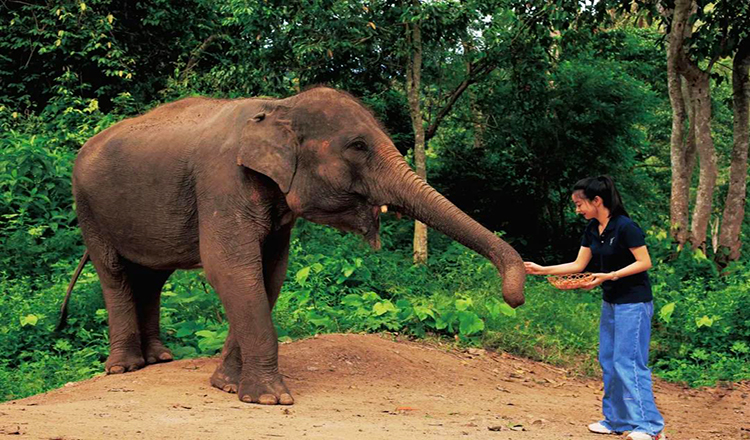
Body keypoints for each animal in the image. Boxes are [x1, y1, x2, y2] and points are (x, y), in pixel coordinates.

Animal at [60, 86, 528, 406]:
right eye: (358, 146)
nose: (514, 298)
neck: (281, 105)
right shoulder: (221, 181)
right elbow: (231, 268)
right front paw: (270, 399)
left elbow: (270, 272)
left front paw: (228, 386)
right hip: (87, 206)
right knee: (115, 273)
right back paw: (125, 367)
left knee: (153, 278)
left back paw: (160, 359)